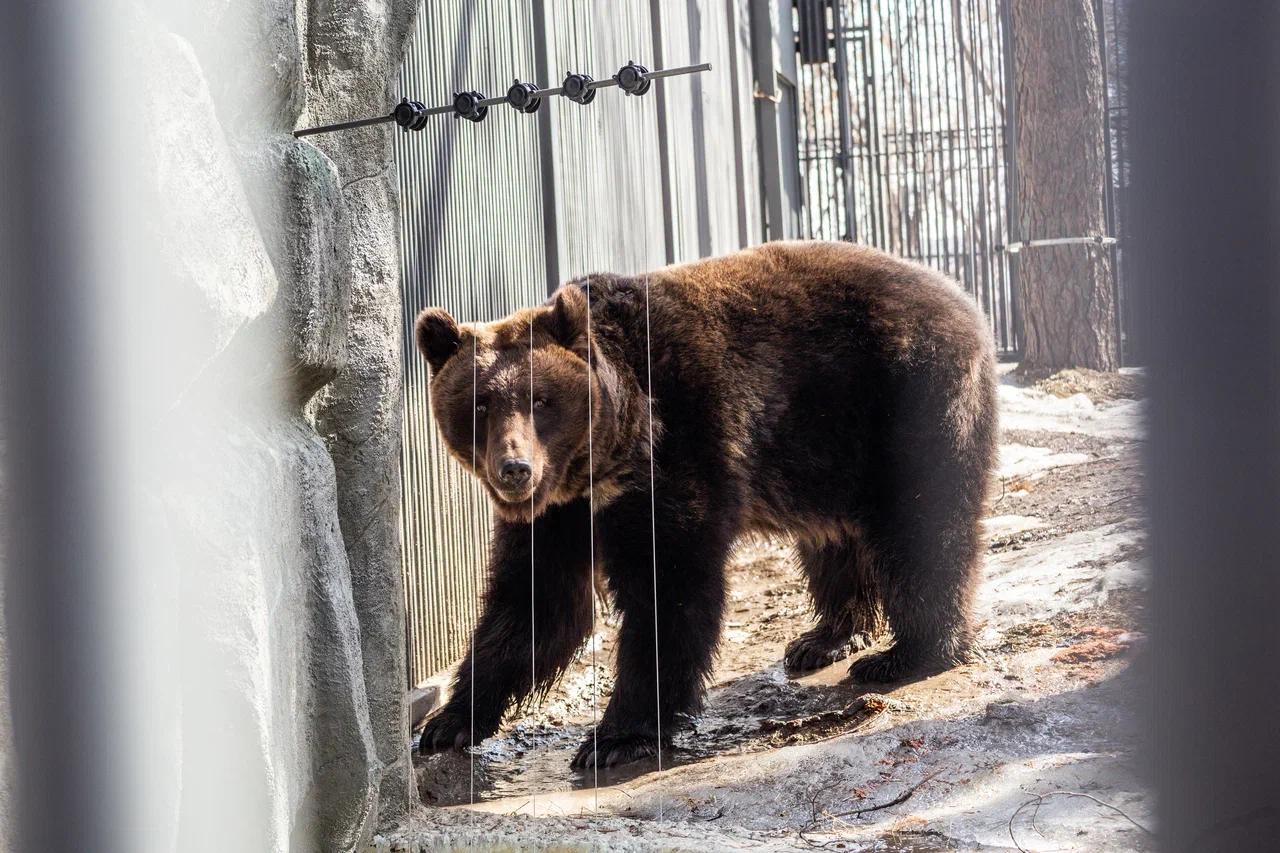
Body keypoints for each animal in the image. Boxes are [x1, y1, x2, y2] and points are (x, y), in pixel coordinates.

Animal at [414, 236, 993, 763]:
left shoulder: (680, 448)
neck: (604, 460)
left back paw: (909, 653)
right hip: (826, 452)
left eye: (540, 399)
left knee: (920, 526)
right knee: (833, 539)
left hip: (906, 398)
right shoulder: (556, 515)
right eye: (480, 403)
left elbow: (668, 586)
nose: (514, 470)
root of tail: (962, 298)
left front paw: (616, 736)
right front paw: (449, 722)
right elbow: (533, 603)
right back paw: (825, 637)